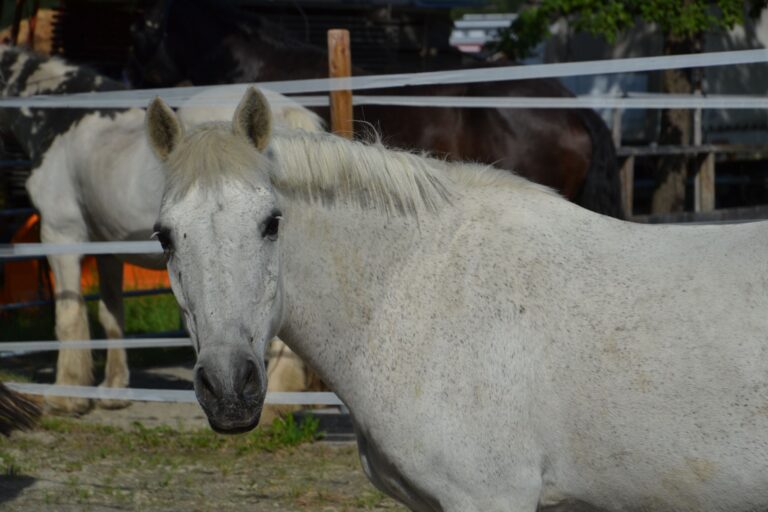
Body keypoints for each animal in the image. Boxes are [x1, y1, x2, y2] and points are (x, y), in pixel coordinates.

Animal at [0, 45, 323, 415]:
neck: (62, 123)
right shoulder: (106, 248)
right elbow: (111, 315)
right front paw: (114, 390)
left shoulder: (61, 235)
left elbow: (69, 315)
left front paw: (68, 395)